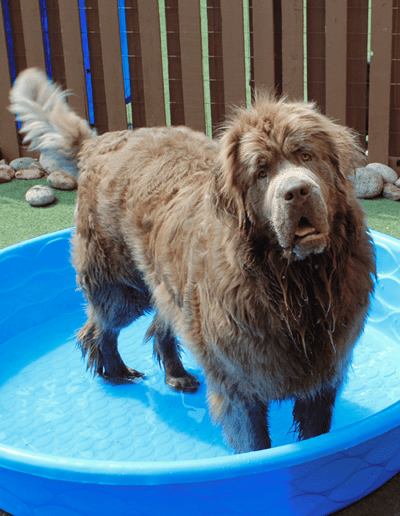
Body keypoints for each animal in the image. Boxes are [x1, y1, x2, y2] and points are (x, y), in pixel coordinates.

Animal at [9, 68, 376, 452]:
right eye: (261, 173)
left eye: (306, 155)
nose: (297, 192)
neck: (296, 284)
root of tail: (100, 141)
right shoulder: (237, 383)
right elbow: (254, 441)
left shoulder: (324, 375)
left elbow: (317, 428)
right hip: (124, 286)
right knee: (98, 328)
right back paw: (117, 373)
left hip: (173, 288)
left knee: (158, 326)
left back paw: (177, 376)